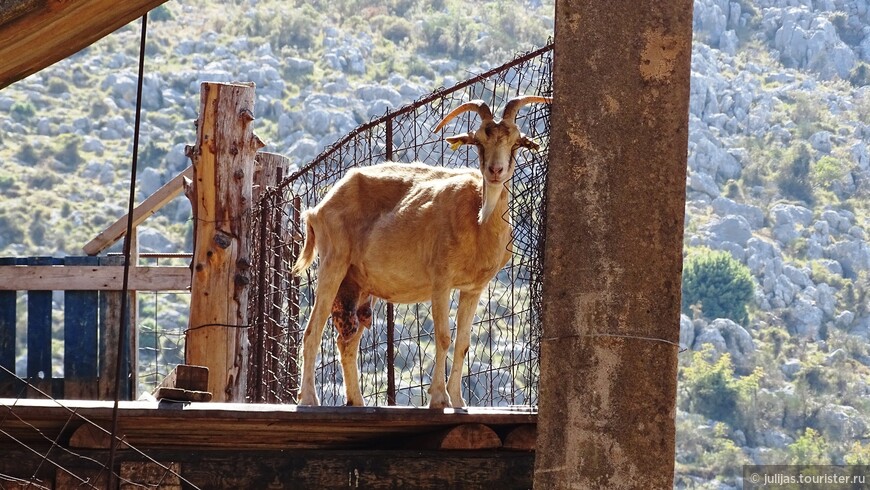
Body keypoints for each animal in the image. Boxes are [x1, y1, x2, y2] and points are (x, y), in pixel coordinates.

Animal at [292, 95, 552, 410]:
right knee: (312, 331)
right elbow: (443, 337)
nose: (495, 171)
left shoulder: (473, 288)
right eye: (478, 141)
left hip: (361, 283)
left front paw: (458, 400)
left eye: (515, 142)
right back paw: (309, 397)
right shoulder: (441, 280)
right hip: (333, 262)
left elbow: (463, 343)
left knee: (347, 341)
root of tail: (317, 209)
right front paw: (439, 398)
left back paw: (357, 401)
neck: (478, 220)